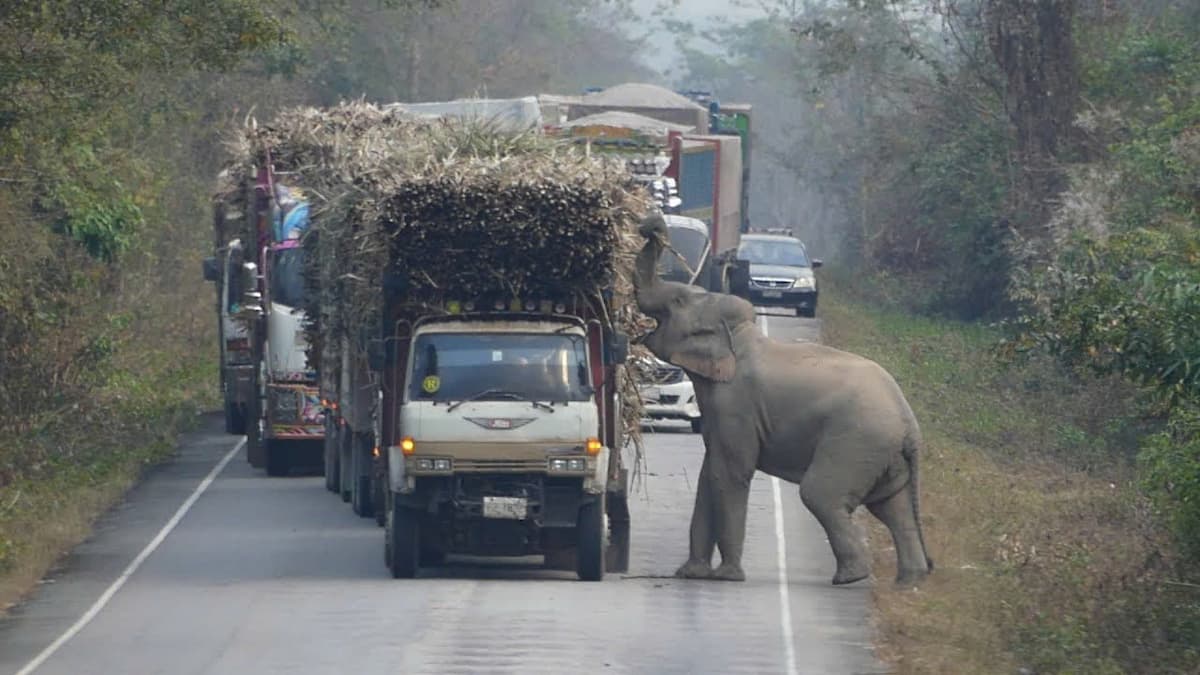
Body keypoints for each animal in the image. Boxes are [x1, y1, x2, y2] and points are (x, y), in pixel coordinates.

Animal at [633, 211, 931, 583]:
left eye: (677, 302)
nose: (651, 223)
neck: (741, 336)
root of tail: (910, 425)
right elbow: (708, 472)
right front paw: (690, 573)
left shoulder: (736, 403)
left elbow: (729, 472)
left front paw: (727, 577)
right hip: (884, 454)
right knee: (894, 507)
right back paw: (909, 581)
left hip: (856, 442)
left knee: (821, 494)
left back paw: (851, 577)